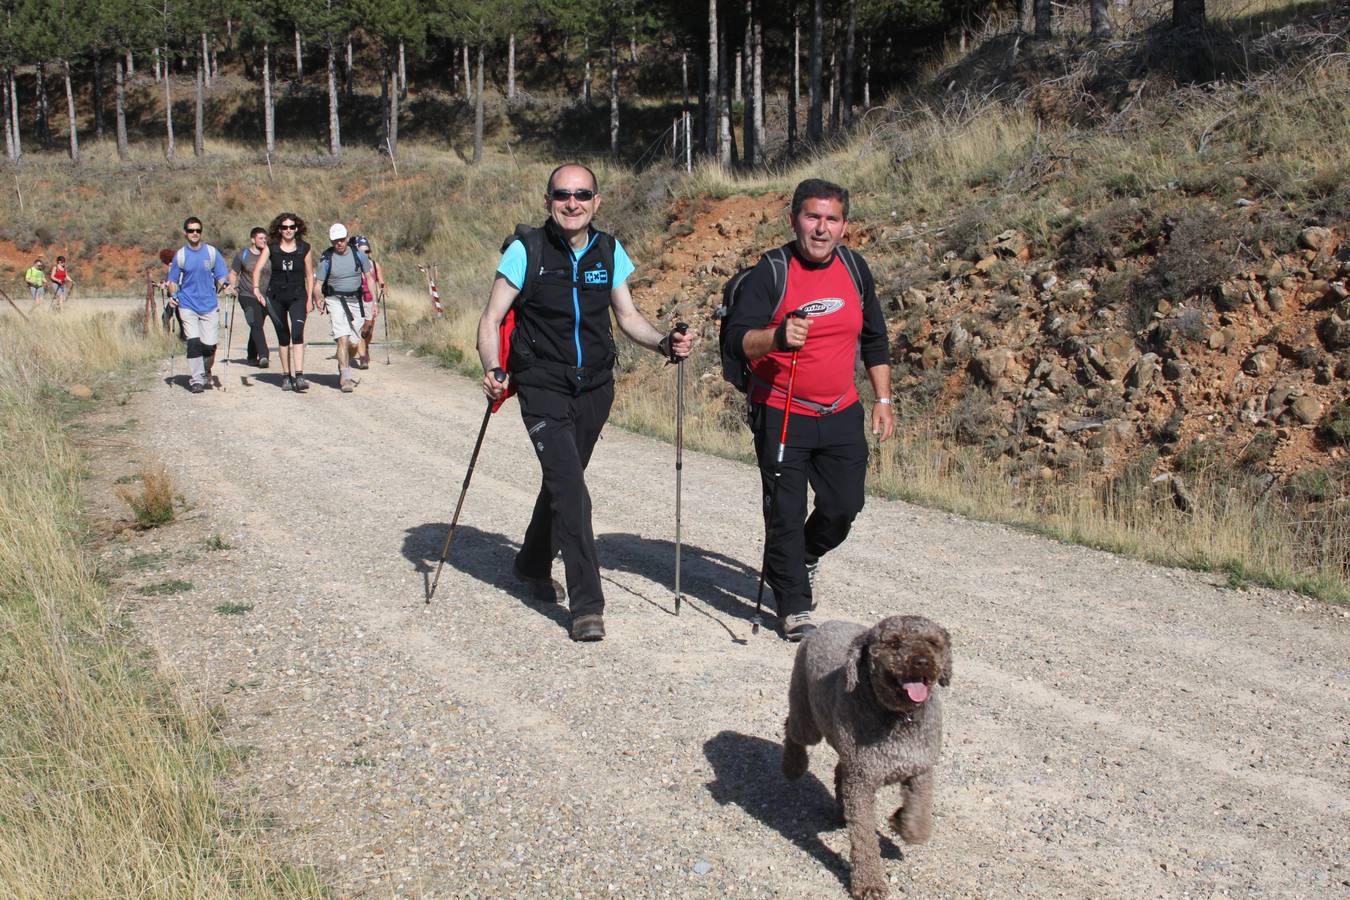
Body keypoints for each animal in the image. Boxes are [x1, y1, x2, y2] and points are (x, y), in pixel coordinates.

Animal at [783, 615, 950, 895]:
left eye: (932, 642)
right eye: (893, 643)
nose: (922, 661)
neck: (897, 718)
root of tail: (825, 624)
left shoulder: (920, 769)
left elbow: (919, 825)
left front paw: (900, 820)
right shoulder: (861, 782)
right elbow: (864, 839)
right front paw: (870, 883)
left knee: (839, 770)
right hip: (808, 718)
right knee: (792, 728)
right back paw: (793, 766)